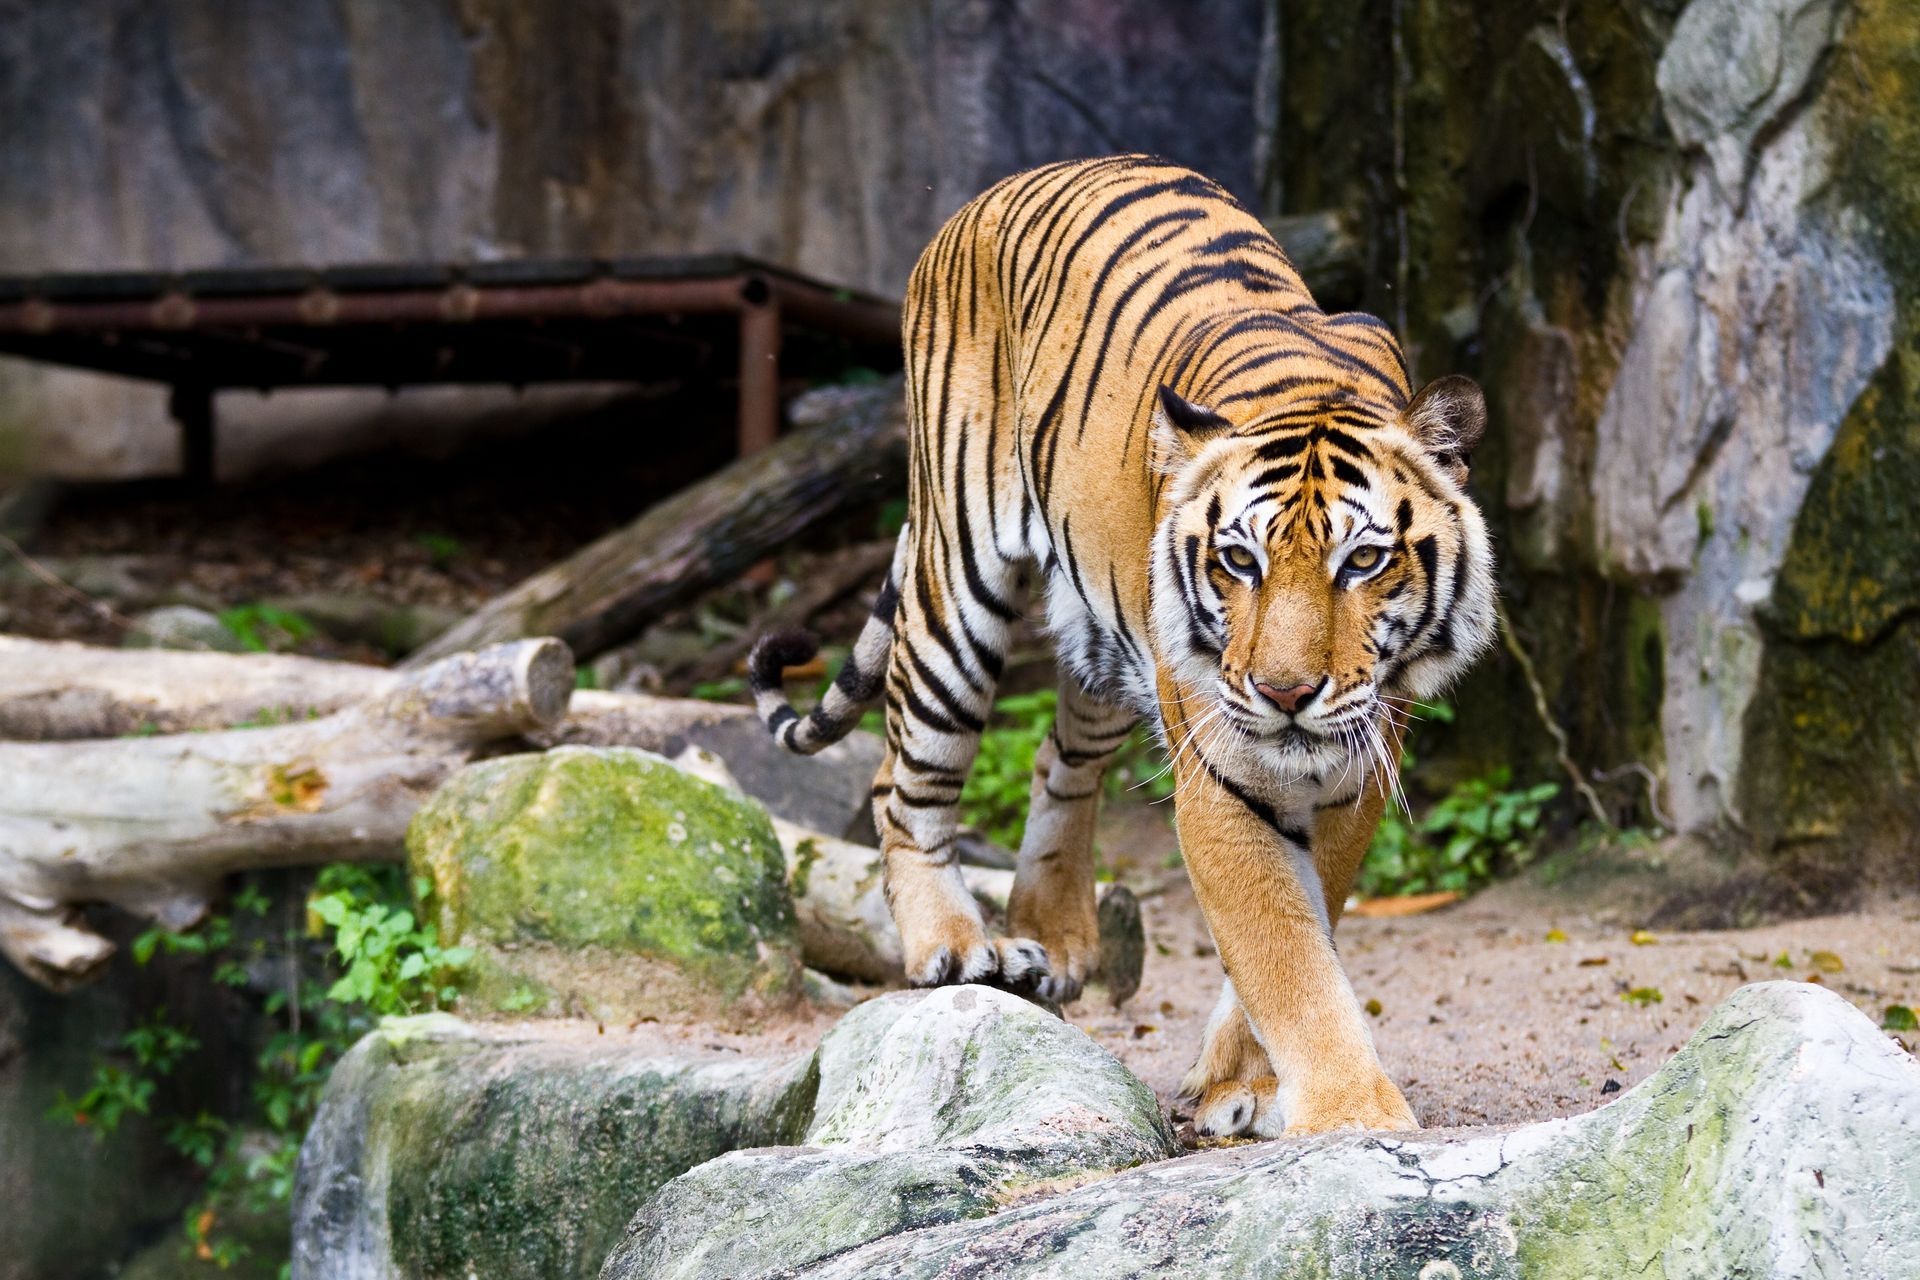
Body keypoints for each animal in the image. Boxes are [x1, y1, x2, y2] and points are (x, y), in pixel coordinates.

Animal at [748, 152, 1497, 1143]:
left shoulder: (1358, 768)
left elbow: (1307, 923)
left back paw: (1056, 938)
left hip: (1102, 636)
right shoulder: (1222, 777)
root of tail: (999, 189)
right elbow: (1284, 952)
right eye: (1239, 561)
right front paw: (1350, 1115)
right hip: (958, 581)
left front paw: (1242, 1084)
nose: (1286, 694)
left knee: (1057, 762)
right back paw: (954, 947)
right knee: (902, 780)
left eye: (1363, 561)